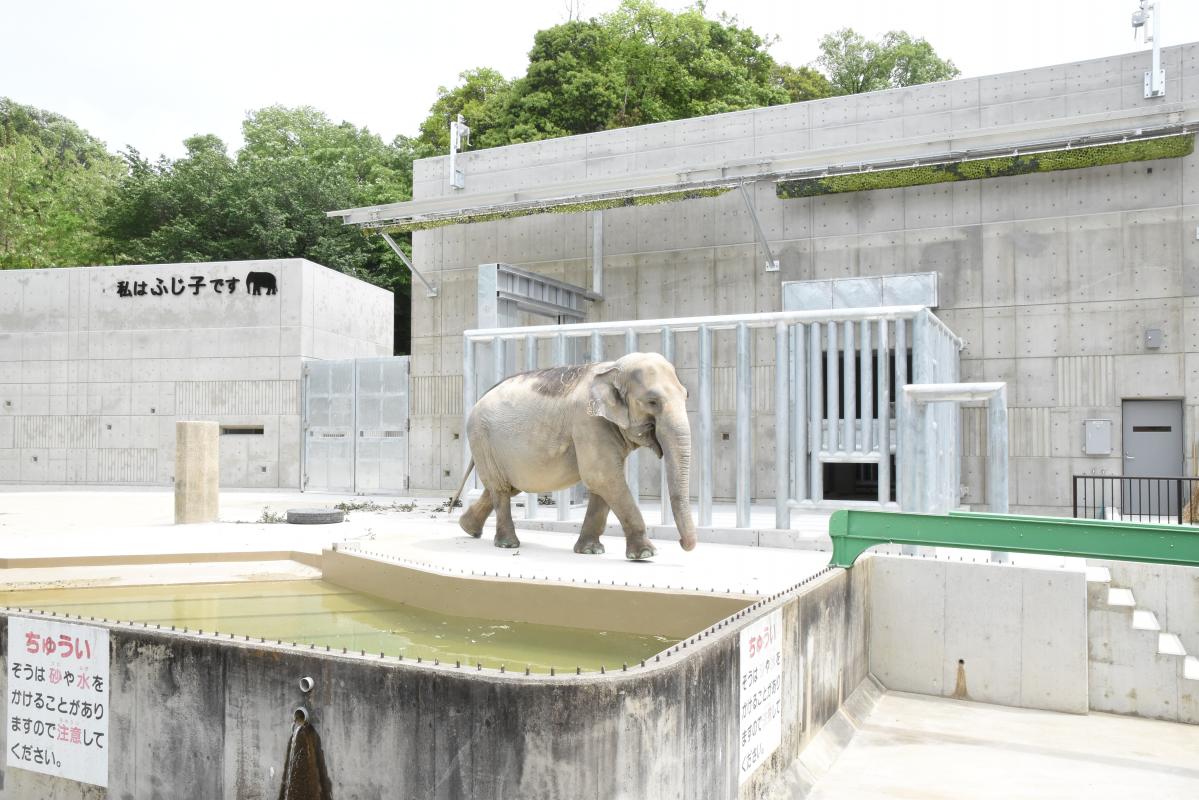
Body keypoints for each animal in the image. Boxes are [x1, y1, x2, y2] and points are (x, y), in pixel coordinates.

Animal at [448, 352, 695, 561]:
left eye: (686, 396)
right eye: (652, 402)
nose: (682, 544)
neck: (613, 368)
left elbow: (604, 482)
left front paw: (590, 551)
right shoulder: (588, 422)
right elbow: (603, 477)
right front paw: (645, 555)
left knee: (506, 487)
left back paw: (467, 528)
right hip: (481, 437)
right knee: (499, 488)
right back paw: (507, 544)